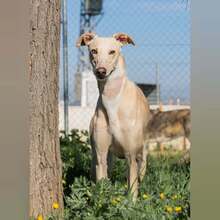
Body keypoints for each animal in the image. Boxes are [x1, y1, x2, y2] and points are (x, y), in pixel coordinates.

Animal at [76, 32, 151, 199]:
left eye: (112, 52)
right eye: (93, 51)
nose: (101, 71)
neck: (113, 101)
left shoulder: (131, 157)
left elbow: (132, 190)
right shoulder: (101, 155)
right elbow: (102, 186)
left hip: (141, 151)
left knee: (142, 168)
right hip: (100, 156)